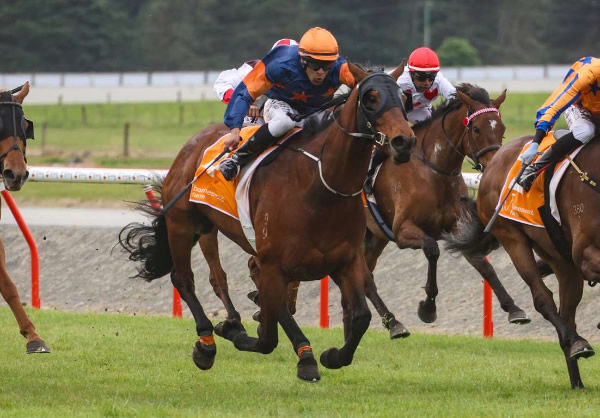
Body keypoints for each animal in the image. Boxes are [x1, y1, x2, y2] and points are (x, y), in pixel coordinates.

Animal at [118, 63, 418, 380]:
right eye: (371, 98)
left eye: (403, 97)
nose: (404, 141)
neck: (320, 187)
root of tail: (191, 144)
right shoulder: (273, 263)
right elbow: (269, 335)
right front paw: (284, 350)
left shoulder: (346, 261)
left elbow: (360, 316)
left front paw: (332, 355)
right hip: (182, 224)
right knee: (184, 279)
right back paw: (207, 343)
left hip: (209, 228)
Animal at [446, 133, 600, 388]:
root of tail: (493, 162)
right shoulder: (585, 254)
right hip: (512, 237)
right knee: (543, 299)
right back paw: (577, 343)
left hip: (560, 259)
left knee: (566, 313)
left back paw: (577, 380)